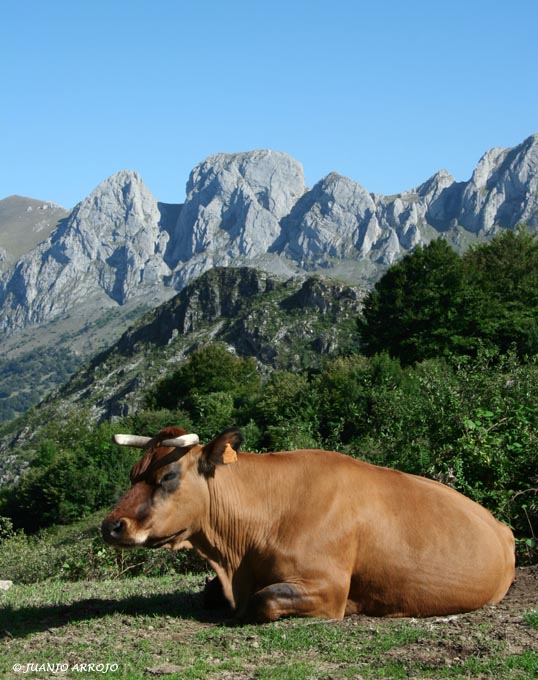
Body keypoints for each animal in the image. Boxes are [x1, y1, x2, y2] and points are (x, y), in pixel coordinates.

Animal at [101, 428, 516, 624]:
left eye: (167, 475)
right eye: (133, 473)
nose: (111, 525)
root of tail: (501, 526)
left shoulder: (327, 587)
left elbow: (264, 600)